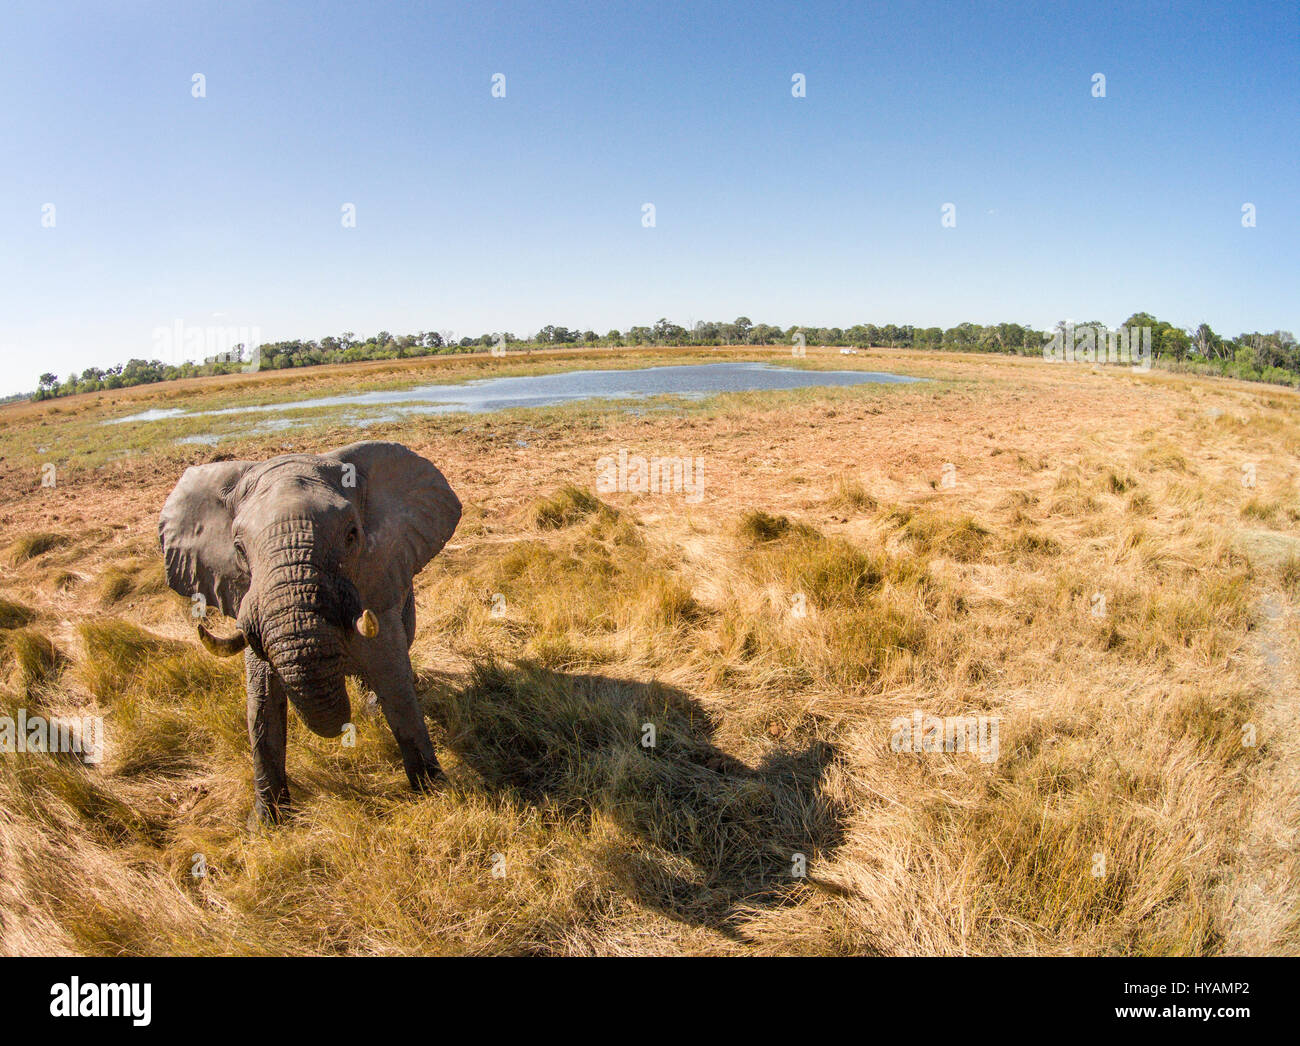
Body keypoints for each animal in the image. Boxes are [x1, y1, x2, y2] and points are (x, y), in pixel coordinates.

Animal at [158, 436, 462, 821]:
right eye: (239, 548)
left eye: (352, 535)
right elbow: (261, 705)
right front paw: (266, 823)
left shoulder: (376, 582)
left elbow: (396, 686)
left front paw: (433, 793)